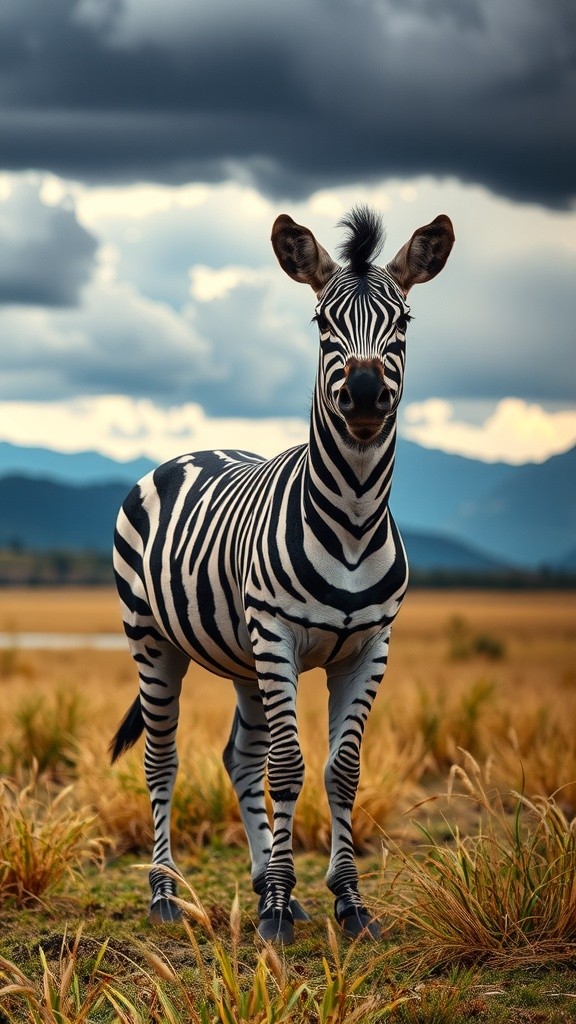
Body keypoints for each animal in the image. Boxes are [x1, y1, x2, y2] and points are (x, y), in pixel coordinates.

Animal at [111, 206, 454, 943]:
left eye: (404, 320)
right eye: (323, 323)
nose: (364, 394)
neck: (353, 517)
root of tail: (188, 452)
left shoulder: (370, 646)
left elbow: (341, 770)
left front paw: (344, 902)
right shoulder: (278, 636)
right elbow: (289, 766)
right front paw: (274, 911)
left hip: (244, 660)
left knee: (239, 758)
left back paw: (264, 880)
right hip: (154, 639)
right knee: (163, 758)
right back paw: (164, 893)